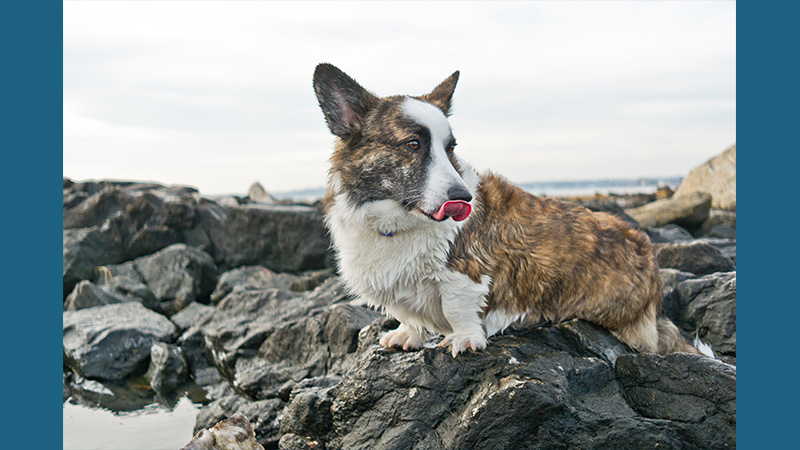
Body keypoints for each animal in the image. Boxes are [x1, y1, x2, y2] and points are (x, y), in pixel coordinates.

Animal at [310, 64, 708, 358]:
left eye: (450, 148)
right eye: (413, 144)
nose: (463, 198)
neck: (398, 222)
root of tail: (650, 262)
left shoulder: (466, 275)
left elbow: (457, 309)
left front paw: (463, 340)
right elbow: (406, 314)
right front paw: (406, 334)